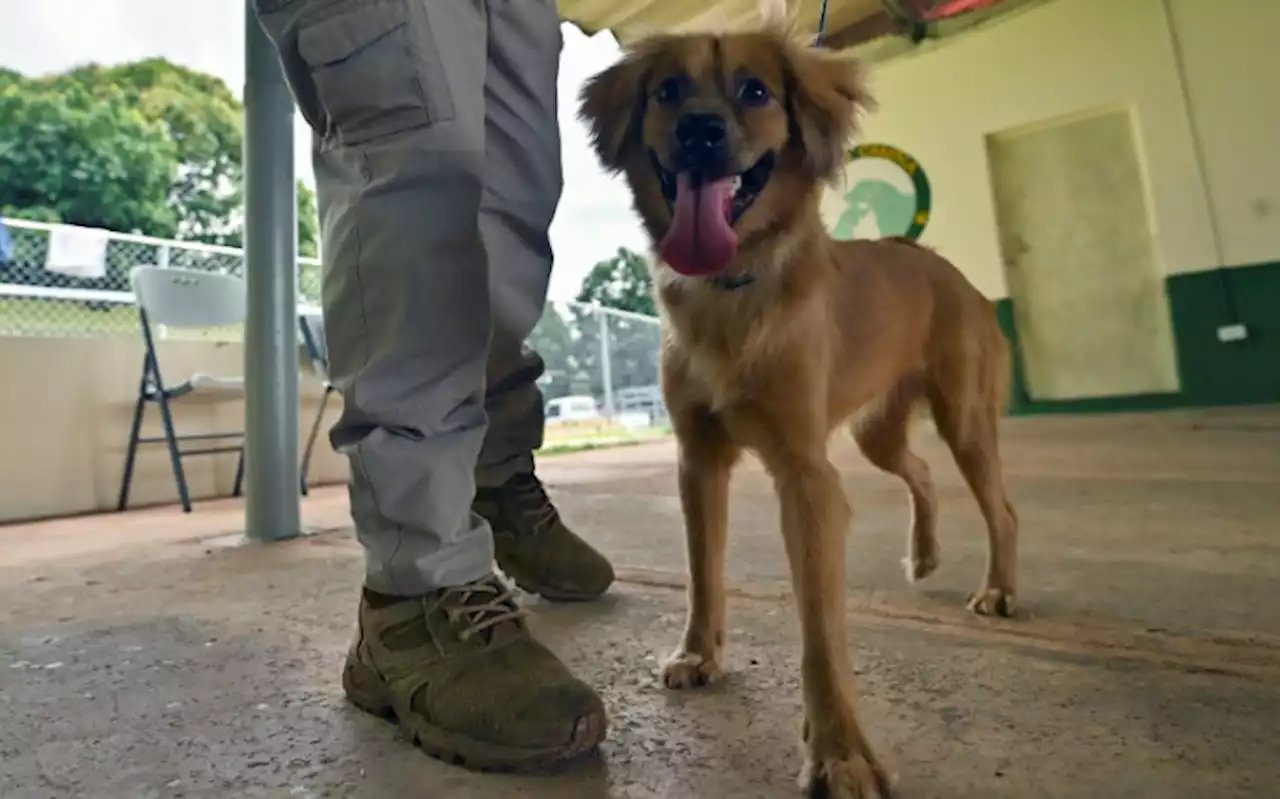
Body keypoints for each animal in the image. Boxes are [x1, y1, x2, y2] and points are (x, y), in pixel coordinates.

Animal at [581, 12, 1018, 799]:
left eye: (755, 91)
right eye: (668, 90)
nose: (700, 130)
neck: (730, 291)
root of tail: (953, 272)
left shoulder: (806, 476)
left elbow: (819, 630)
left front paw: (839, 752)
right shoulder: (699, 461)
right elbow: (703, 570)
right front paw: (699, 652)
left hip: (966, 420)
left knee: (1002, 509)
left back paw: (998, 589)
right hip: (878, 431)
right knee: (920, 474)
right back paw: (925, 553)